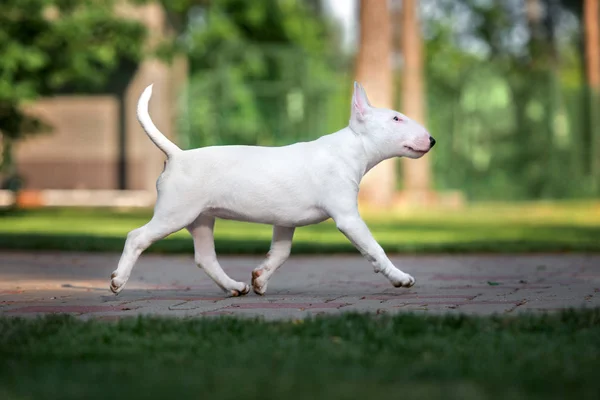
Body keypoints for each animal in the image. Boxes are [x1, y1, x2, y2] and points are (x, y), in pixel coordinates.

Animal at [109, 83, 436, 296]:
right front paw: (400, 278)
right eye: (396, 118)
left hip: (201, 219)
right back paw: (118, 280)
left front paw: (260, 280)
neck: (350, 149)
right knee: (136, 237)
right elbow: (374, 248)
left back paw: (234, 287)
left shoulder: (285, 222)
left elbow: (280, 253)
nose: (432, 140)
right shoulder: (348, 217)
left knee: (205, 257)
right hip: (175, 213)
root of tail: (177, 155)